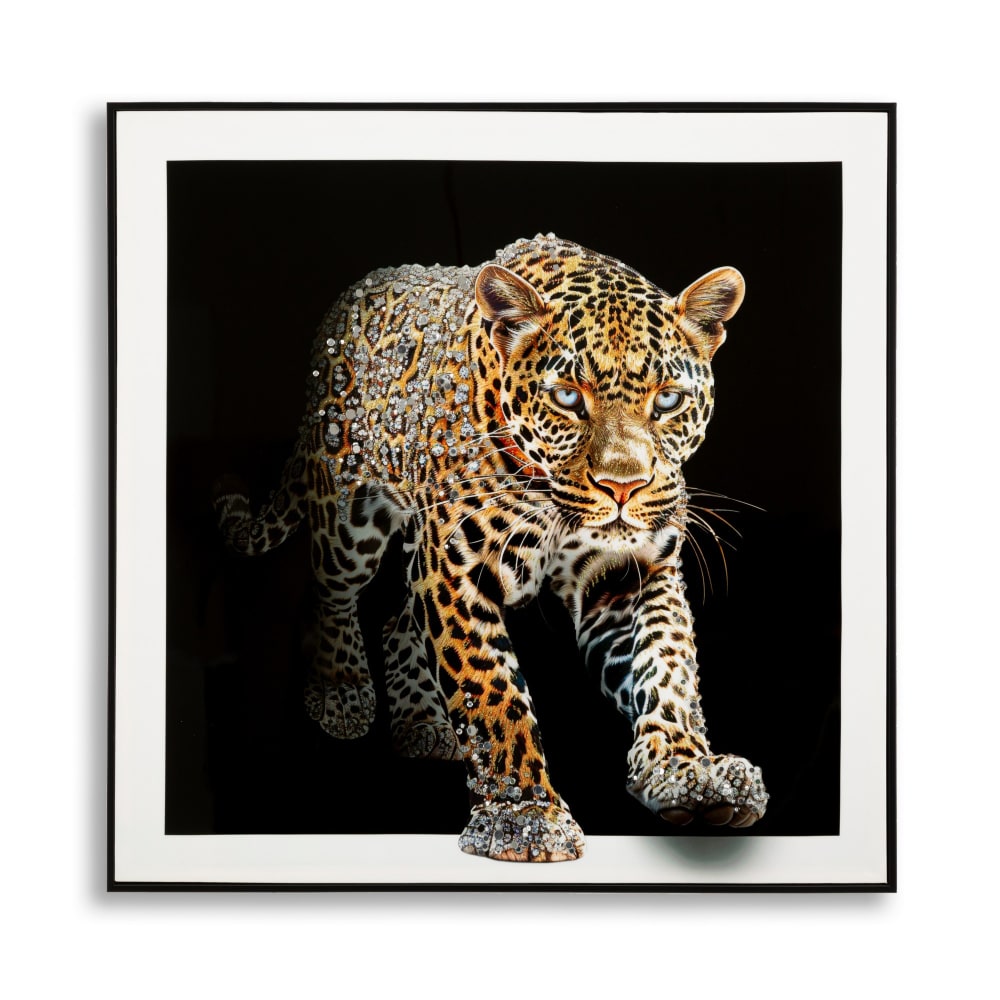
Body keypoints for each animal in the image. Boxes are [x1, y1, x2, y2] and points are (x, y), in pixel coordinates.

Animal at [214, 233, 768, 862]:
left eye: (669, 400)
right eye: (567, 397)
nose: (623, 487)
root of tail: (354, 292)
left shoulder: (630, 572)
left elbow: (667, 665)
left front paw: (688, 773)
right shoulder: (457, 569)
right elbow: (492, 691)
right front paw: (522, 815)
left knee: (398, 618)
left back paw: (423, 724)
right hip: (347, 514)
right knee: (328, 592)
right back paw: (342, 690)